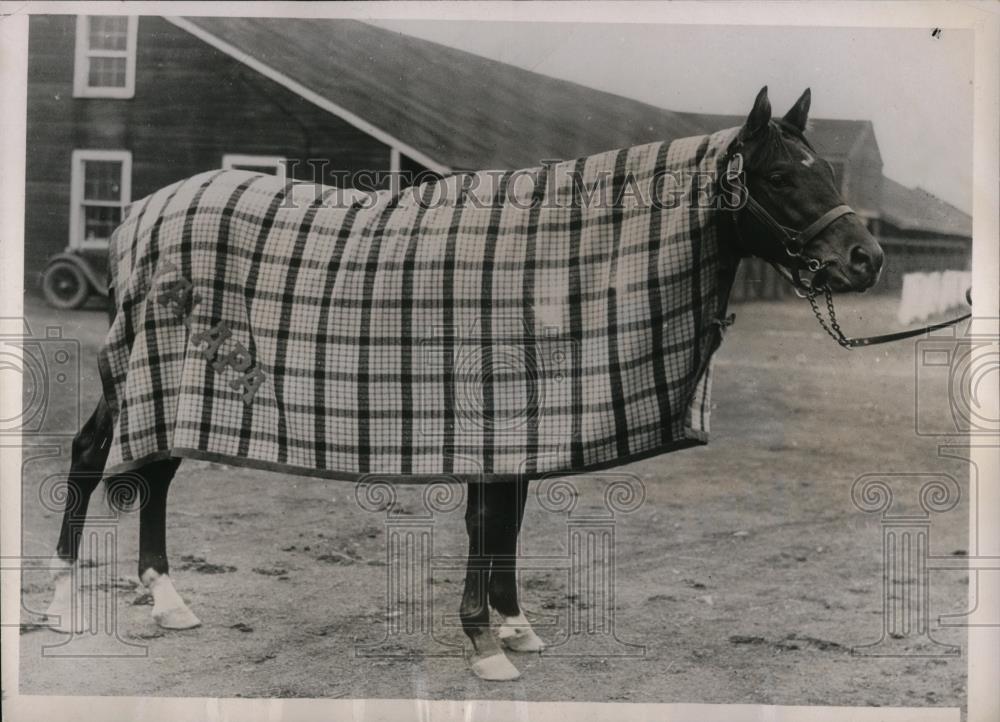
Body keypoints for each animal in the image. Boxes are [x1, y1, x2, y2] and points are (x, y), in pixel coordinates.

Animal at [45, 86, 884, 680]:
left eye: (827, 171)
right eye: (778, 176)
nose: (866, 259)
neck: (554, 264)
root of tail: (138, 215)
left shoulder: (529, 422)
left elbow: (509, 522)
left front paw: (517, 626)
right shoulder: (484, 417)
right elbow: (488, 525)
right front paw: (486, 646)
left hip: (176, 390)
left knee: (155, 473)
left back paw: (167, 602)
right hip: (139, 373)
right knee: (92, 457)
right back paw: (60, 604)